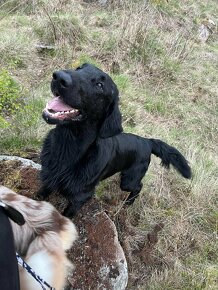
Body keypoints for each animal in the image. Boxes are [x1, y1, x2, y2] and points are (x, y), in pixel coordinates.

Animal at [38, 64, 192, 218]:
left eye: (100, 85)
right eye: (79, 68)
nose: (59, 77)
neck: (67, 144)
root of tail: (147, 141)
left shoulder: (80, 197)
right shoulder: (48, 177)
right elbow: (40, 196)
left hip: (129, 180)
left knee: (138, 186)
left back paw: (128, 203)